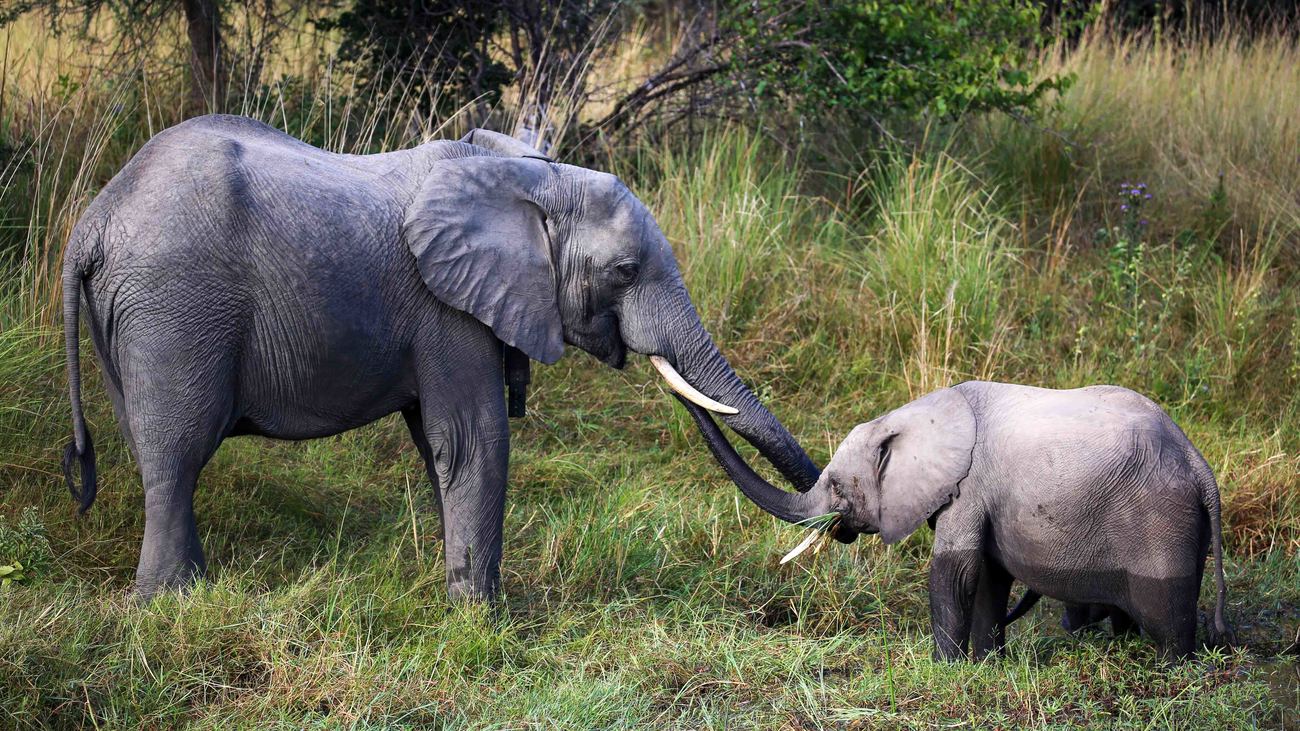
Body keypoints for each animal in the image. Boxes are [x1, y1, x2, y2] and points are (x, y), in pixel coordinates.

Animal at [63, 115, 811, 598]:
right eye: (625, 271)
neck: (530, 177)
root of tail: (93, 223)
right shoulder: (446, 309)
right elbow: (472, 440)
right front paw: (483, 615)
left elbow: (439, 444)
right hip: (173, 305)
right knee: (176, 453)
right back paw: (173, 603)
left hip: (132, 316)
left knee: (150, 448)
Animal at [686, 382, 1232, 655]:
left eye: (839, 487)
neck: (910, 415)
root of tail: (1199, 465)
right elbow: (988, 575)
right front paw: (986, 663)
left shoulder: (969, 485)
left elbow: (957, 571)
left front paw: (944, 667)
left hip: (1161, 522)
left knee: (1167, 618)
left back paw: (1172, 667)